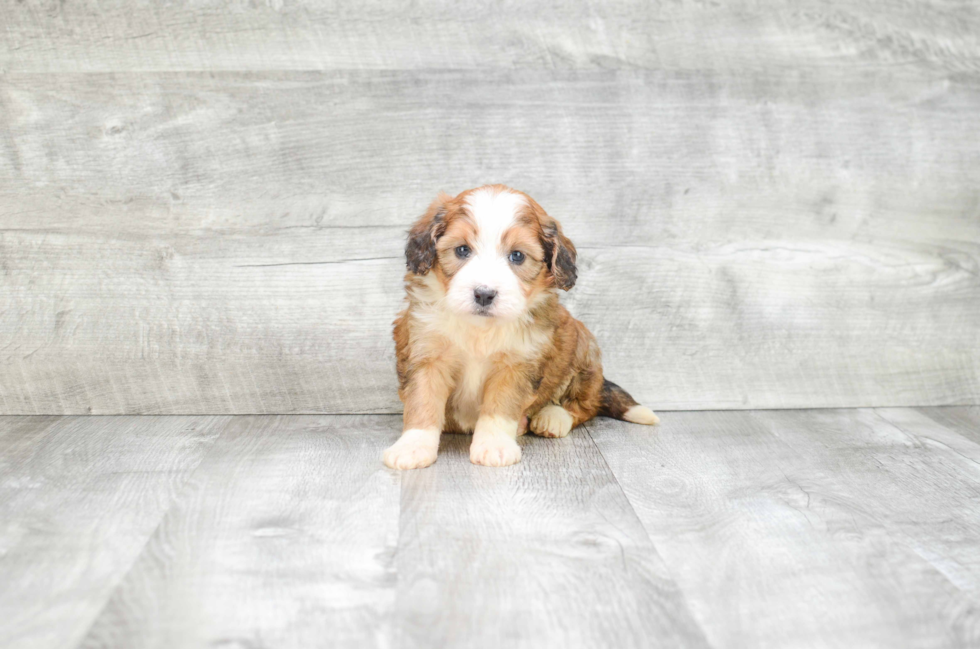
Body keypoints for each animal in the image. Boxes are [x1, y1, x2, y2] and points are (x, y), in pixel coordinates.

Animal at [382, 185, 660, 468]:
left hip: (584, 346)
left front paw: (493, 445)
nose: (484, 294)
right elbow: (423, 402)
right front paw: (413, 446)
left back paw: (552, 417)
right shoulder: (426, 354)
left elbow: (500, 406)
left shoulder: (517, 363)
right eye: (462, 250)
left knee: (584, 406)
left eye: (517, 256)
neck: (480, 328)